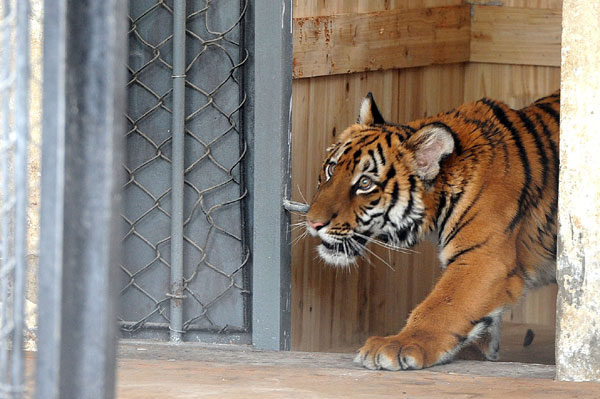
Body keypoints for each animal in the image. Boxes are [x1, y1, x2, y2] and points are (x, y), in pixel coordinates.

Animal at [308, 90, 560, 372]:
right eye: (331, 170)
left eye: (365, 183)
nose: (312, 223)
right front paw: (475, 353)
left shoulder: (483, 258)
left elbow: (441, 307)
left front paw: (398, 344)